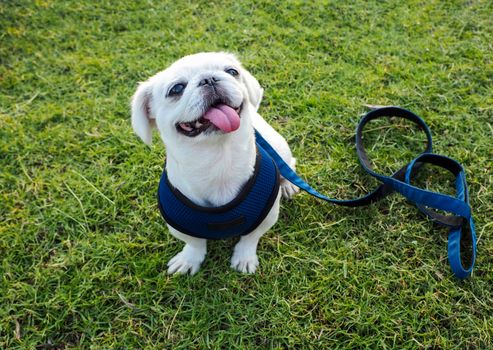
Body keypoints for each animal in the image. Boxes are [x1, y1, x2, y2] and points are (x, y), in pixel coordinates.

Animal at [131, 52, 298, 276]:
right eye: (176, 89)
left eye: (232, 71)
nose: (208, 79)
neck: (218, 158)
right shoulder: (179, 226)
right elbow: (195, 243)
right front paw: (189, 259)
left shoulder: (267, 215)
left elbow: (250, 238)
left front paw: (244, 258)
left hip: (279, 146)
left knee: (289, 166)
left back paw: (288, 185)